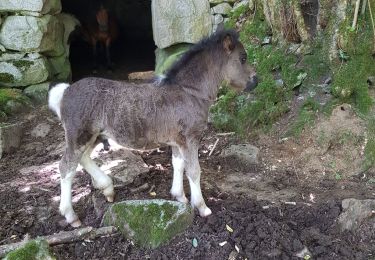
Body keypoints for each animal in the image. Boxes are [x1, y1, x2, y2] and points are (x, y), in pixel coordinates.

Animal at [49, 29, 258, 226]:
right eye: (243, 58)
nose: (255, 81)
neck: (190, 92)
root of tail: (66, 91)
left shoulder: (178, 141)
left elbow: (178, 164)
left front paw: (179, 197)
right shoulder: (190, 139)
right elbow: (193, 170)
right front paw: (202, 207)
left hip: (93, 136)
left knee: (82, 159)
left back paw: (107, 188)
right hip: (79, 136)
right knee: (66, 166)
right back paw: (71, 215)